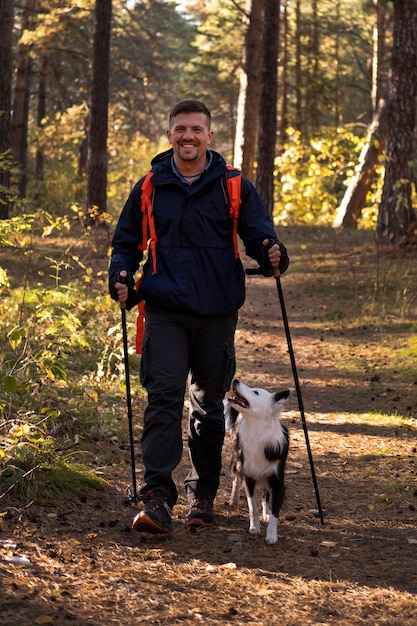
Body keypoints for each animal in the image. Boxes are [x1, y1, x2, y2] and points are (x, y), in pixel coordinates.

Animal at [224, 376, 290, 540]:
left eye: (256, 392)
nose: (235, 380)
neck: (257, 432)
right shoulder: (249, 477)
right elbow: (251, 506)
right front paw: (254, 527)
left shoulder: (277, 481)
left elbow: (275, 513)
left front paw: (271, 535)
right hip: (238, 460)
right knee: (236, 478)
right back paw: (233, 499)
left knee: (266, 493)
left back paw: (266, 512)